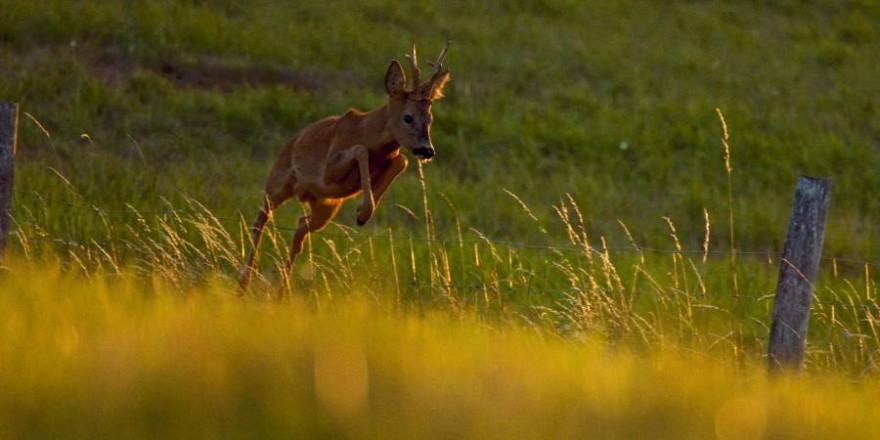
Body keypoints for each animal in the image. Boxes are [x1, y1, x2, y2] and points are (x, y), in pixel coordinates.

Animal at [237, 40, 450, 288]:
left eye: (430, 118)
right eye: (408, 117)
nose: (427, 150)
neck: (367, 132)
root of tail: (290, 142)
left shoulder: (386, 160)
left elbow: (402, 160)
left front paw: (363, 212)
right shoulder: (329, 170)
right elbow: (360, 150)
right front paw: (363, 210)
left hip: (325, 206)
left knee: (300, 226)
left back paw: (283, 286)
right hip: (279, 182)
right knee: (261, 218)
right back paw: (244, 279)